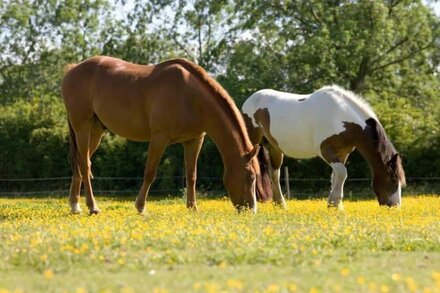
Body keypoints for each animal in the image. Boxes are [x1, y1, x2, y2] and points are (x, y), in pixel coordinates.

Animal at [61, 56, 268, 213]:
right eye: (251, 177)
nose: (251, 210)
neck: (191, 96)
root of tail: (72, 70)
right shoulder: (159, 139)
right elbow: (150, 173)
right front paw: (140, 207)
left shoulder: (194, 140)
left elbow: (191, 175)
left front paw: (192, 208)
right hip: (82, 127)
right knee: (84, 165)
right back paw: (92, 207)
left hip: (95, 132)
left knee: (79, 163)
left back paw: (75, 205)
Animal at [242, 84, 408, 208]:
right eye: (394, 180)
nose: (395, 207)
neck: (341, 116)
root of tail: (250, 100)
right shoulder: (325, 151)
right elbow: (342, 173)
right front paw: (334, 203)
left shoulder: (342, 153)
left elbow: (336, 176)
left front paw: (336, 206)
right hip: (252, 141)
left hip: (275, 148)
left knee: (274, 174)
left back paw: (281, 205)